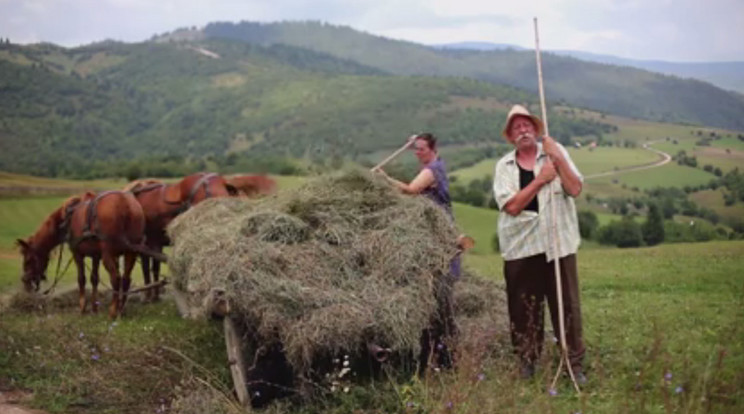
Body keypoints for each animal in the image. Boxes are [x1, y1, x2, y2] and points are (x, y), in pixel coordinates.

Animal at [18, 191, 147, 316]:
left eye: (28, 260)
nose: (25, 282)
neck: (67, 218)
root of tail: (125, 204)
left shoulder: (77, 254)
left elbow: (81, 279)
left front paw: (82, 307)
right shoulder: (96, 256)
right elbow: (94, 279)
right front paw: (94, 308)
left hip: (108, 255)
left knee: (116, 279)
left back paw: (113, 311)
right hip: (131, 252)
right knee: (126, 279)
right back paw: (120, 308)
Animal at [126, 171, 234, 300]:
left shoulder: (148, 244)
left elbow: (148, 267)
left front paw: (150, 296)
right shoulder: (153, 243)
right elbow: (153, 267)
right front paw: (154, 295)